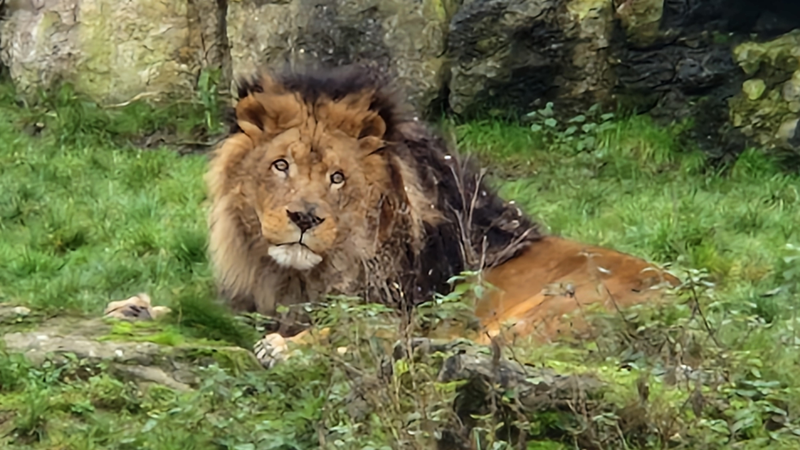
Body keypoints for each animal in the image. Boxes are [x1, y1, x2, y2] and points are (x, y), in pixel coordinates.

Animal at [105, 65, 680, 367]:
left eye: (337, 178)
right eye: (281, 165)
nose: (304, 218)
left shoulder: (397, 306)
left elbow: (358, 326)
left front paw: (283, 343)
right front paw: (137, 308)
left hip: (551, 308)